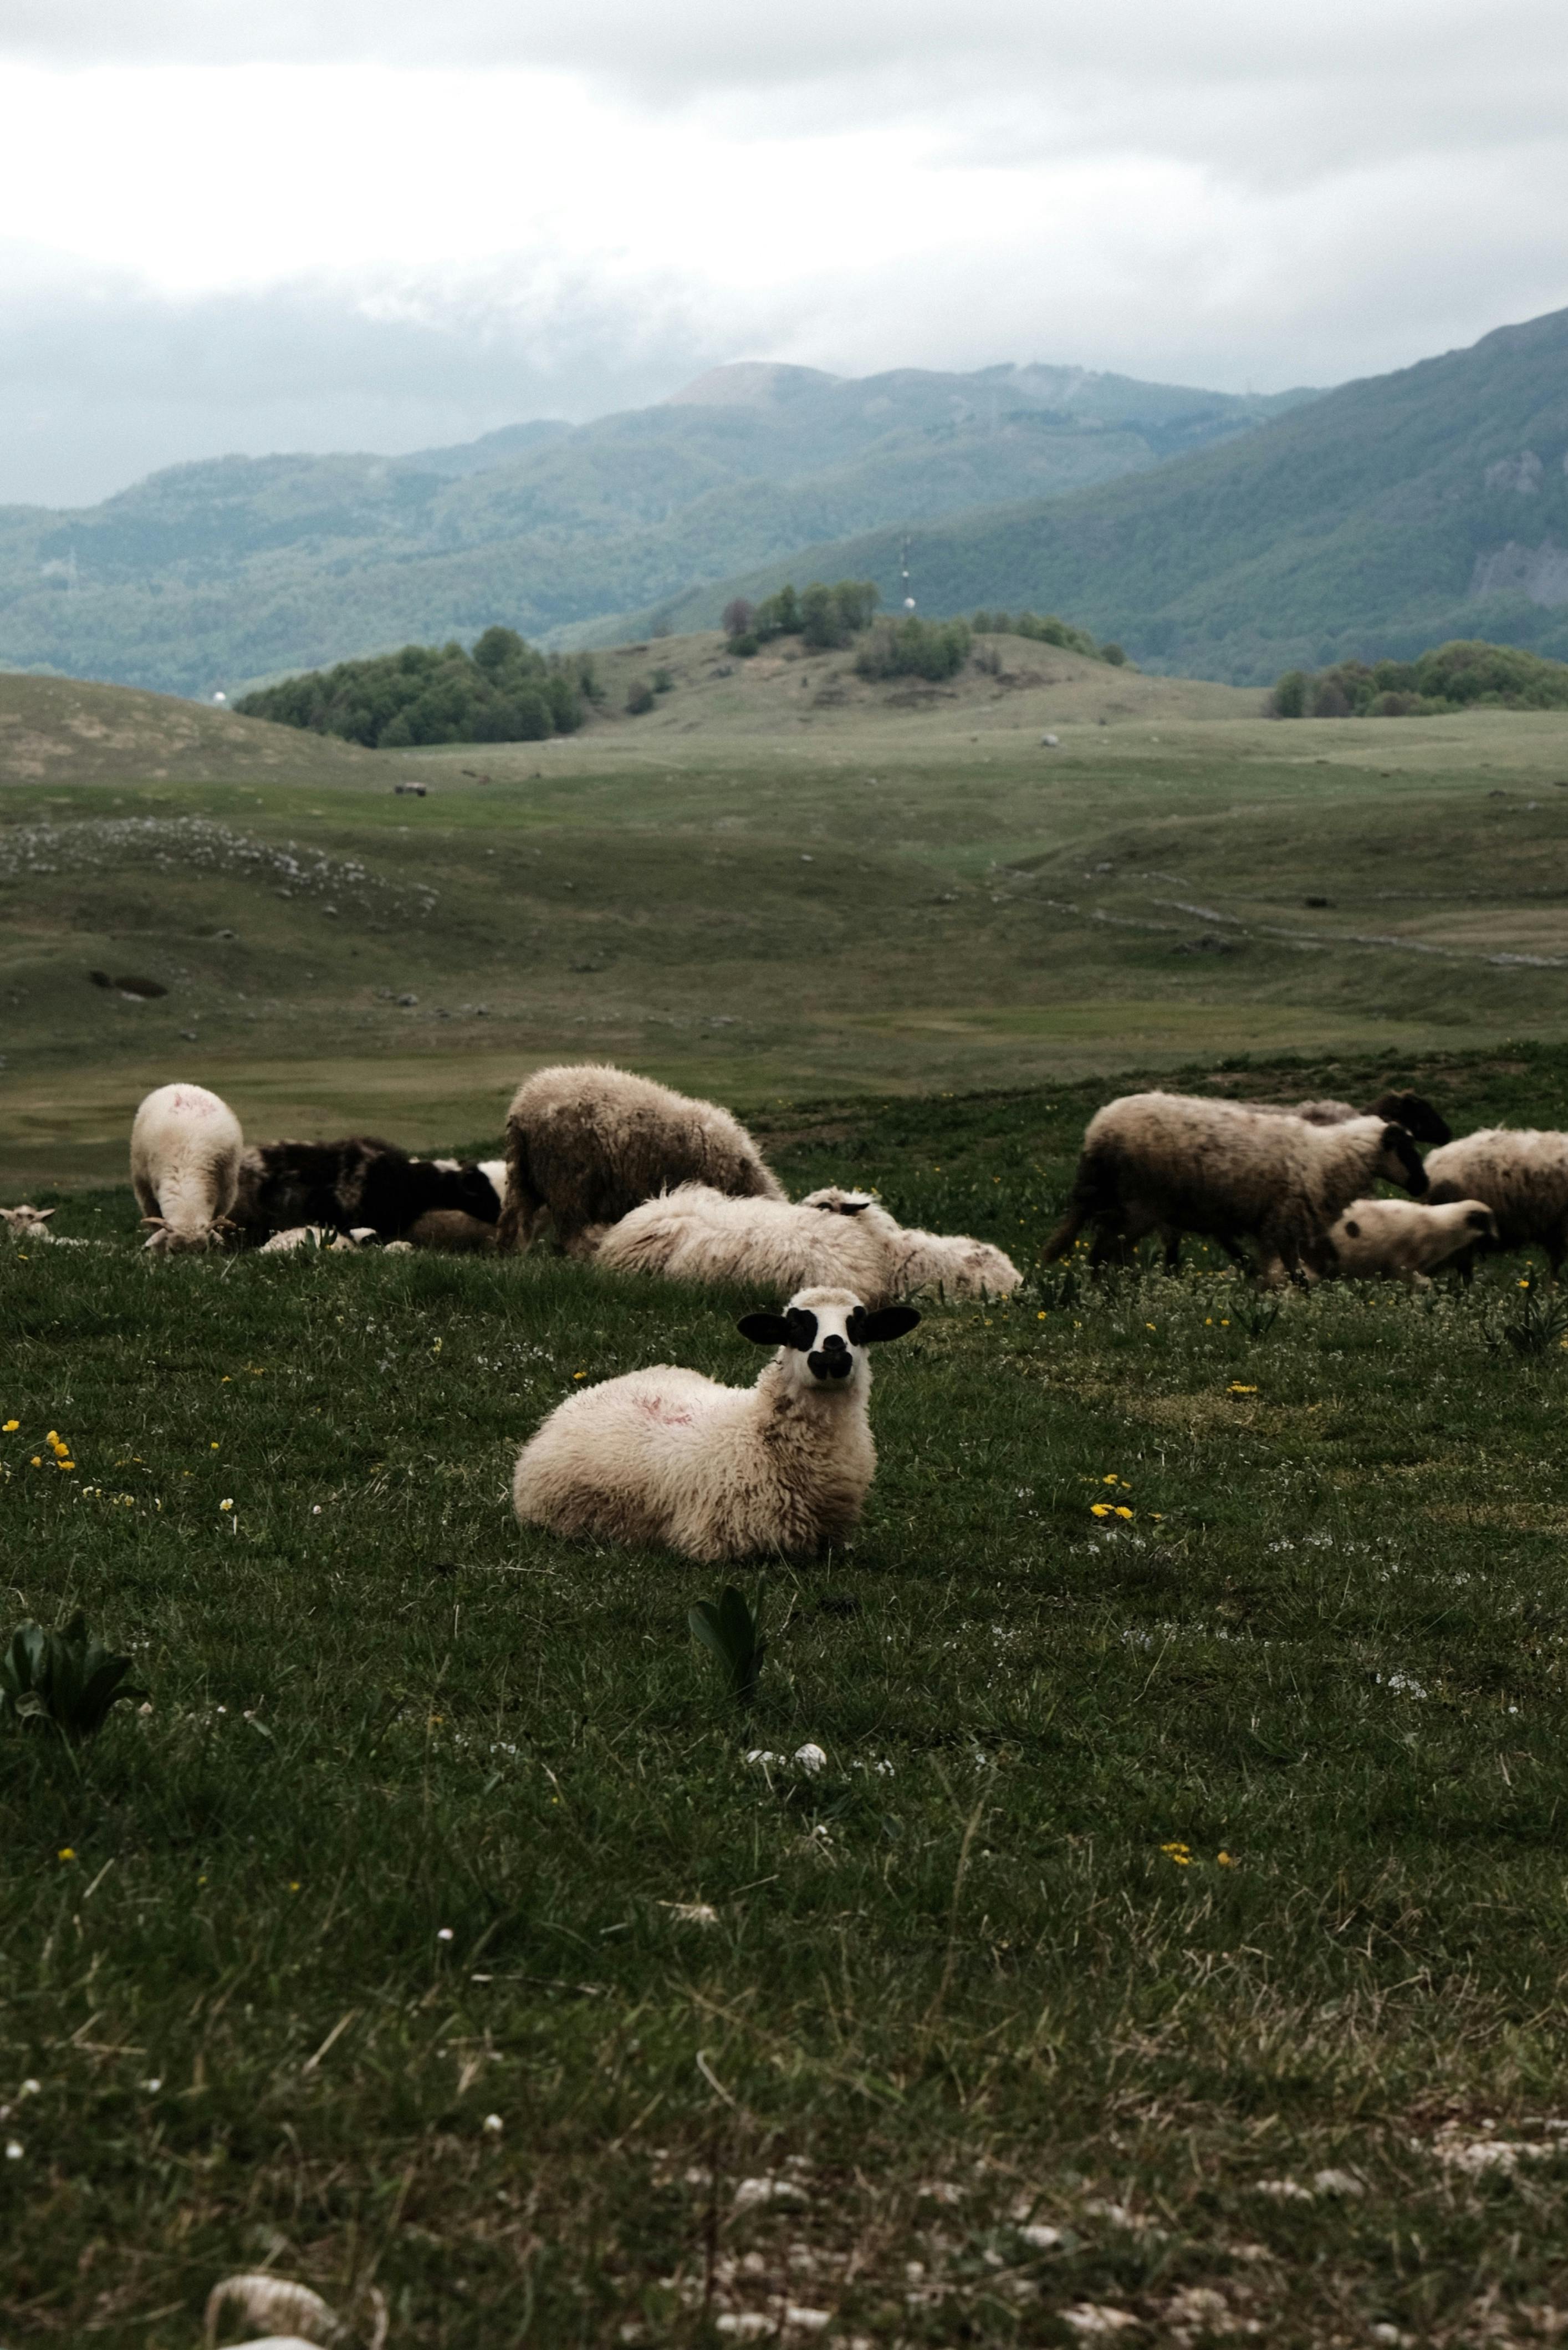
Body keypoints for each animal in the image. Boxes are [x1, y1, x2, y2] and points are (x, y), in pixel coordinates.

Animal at [496, 1063, 785, 1254]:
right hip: (568, 1179)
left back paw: (508, 1257)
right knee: (570, 1231)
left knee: (511, 1221)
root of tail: (522, 1108)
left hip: (524, 1175)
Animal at [1043, 1091, 1428, 1286]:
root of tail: (1098, 1131)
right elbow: (1292, 1271)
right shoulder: (1283, 1222)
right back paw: (1104, 1294)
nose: (1424, 1185)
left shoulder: (1275, 1224)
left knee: (1109, 1249)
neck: (1328, 1156)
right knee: (1102, 1252)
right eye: (1406, 1150)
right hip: (1140, 1204)